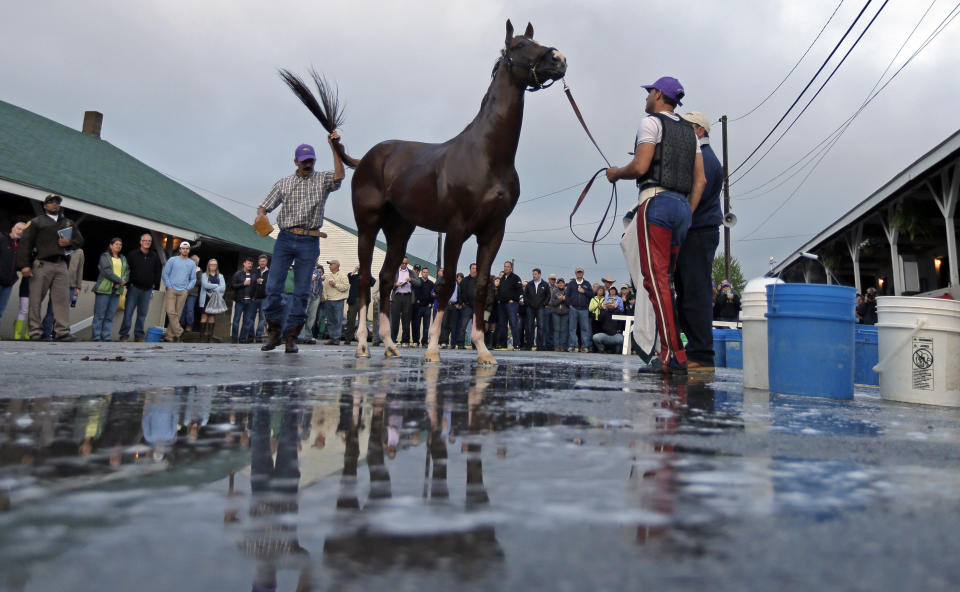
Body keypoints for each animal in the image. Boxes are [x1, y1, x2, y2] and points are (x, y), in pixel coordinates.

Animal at [282, 20, 568, 364]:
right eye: (520, 46)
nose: (559, 59)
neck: (486, 155)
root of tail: (366, 159)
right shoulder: (456, 229)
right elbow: (445, 284)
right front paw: (432, 348)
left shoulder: (493, 231)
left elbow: (482, 285)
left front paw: (483, 350)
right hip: (368, 225)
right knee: (365, 279)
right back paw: (363, 344)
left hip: (399, 230)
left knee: (387, 278)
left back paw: (390, 345)